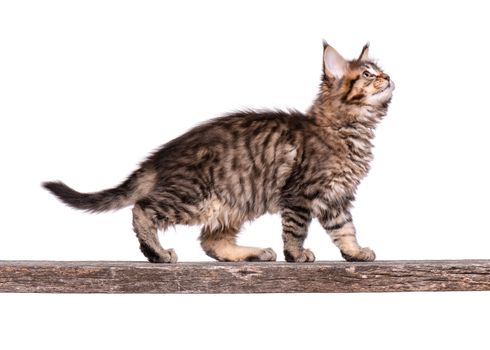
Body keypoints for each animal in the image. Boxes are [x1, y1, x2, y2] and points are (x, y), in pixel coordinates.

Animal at [42, 41, 394, 262]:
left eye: (379, 70)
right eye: (367, 74)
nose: (388, 76)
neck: (351, 129)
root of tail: (161, 155)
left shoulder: (337, 198)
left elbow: (345, 229)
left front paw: (355, 252)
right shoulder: (299, 193)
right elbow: (296, 230)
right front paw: (296, 255)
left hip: (233, 203)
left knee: (211, 241)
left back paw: (253, 253)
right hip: (195, 197)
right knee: (142, 208)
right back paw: (158, 253)